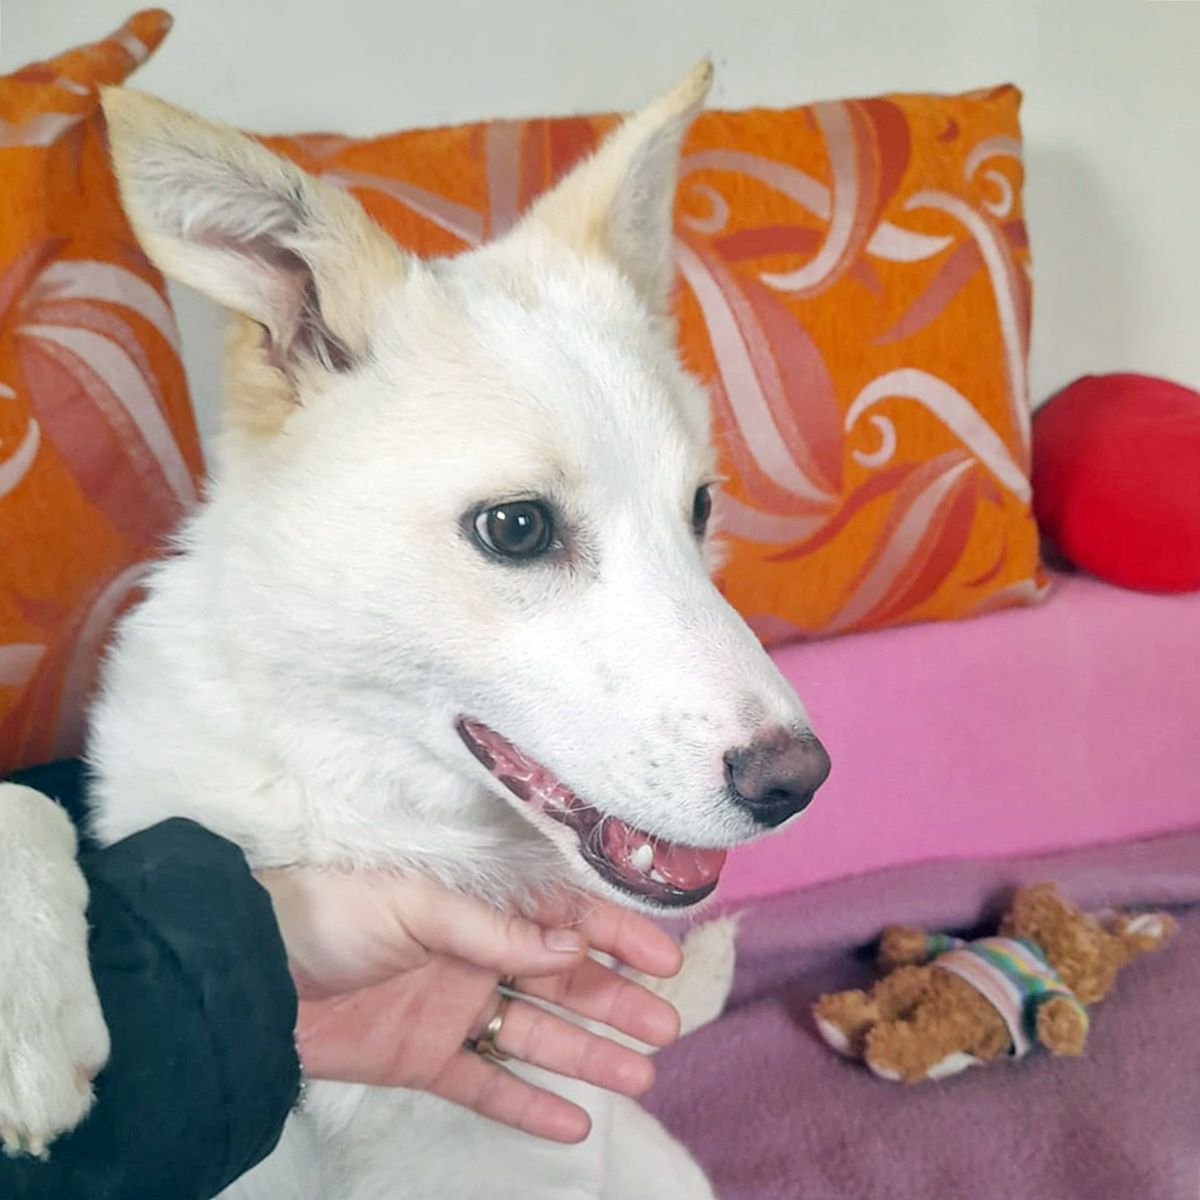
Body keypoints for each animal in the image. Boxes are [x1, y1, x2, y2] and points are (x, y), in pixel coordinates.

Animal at [0, 63, 829, 1198]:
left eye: (699, 508)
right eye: (517, 528)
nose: (801, 783)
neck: (378, 809)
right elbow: (26, 807)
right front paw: (26, 1021)